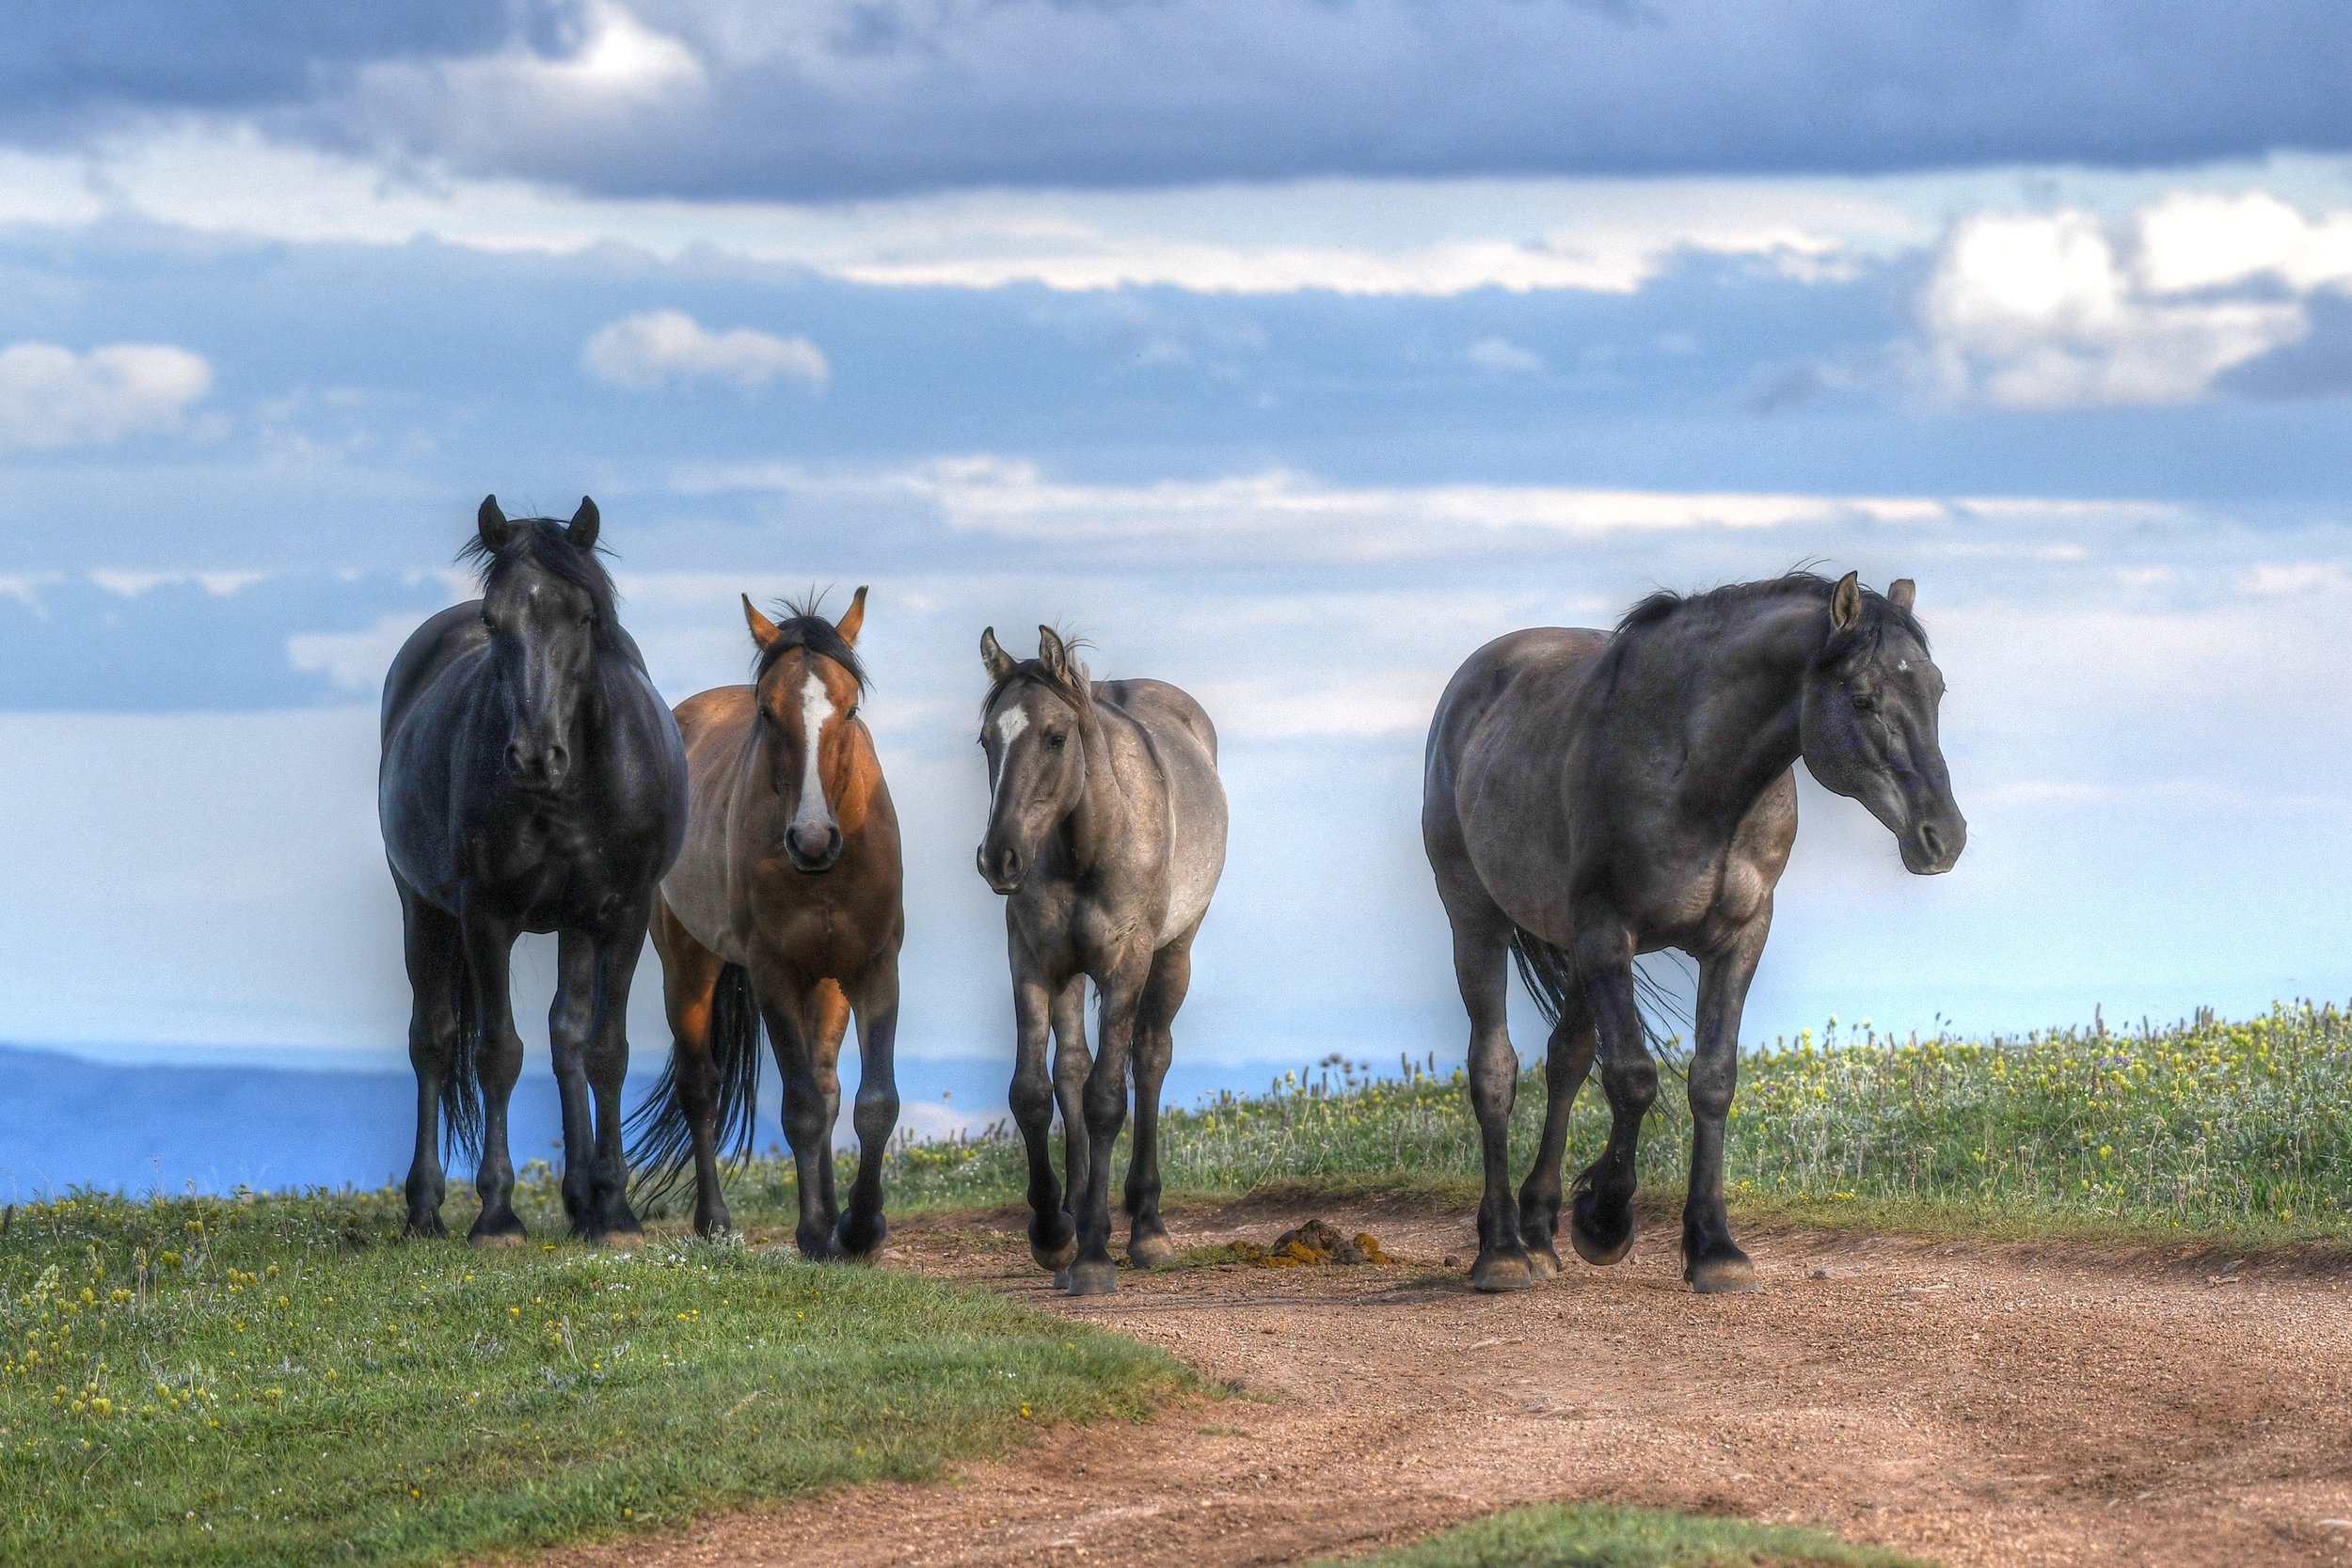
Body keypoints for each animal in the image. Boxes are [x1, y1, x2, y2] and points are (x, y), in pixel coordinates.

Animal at [379, 496, 688, 1245]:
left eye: (584, 616)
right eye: (496, 621)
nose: (535, 755)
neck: (570, 793)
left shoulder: (622, 913)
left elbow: (603, 1049)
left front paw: (614, 1209)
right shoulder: (487, 917)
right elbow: (498, 1053)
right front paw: (496, 1215)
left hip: (572, 925)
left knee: (565, 1038)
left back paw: (582, 1200)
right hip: (422, 910)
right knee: (433, 1042)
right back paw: (425, 1208)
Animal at [626, 590, 904, 1260]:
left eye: (850, 708)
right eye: (767, 712)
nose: (811, 839)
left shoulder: (875, 967)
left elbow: (872, 1103)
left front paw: (859, 1227)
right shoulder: (774, 974)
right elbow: (800, 1107)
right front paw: (816, 1232)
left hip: (826, 981)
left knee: (828, 1086)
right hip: (688, 965)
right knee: (700, 1086)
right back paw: (715, 1222)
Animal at [976, 626, 1227, 1295]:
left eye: (1056, 737)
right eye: (986, 741)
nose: (998, 858)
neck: (1085, 845)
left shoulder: (1126, 964)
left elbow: (1107, 1098)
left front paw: (1093, 1253)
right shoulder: (1033, 963)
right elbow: (1033, 1093)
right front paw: (1054, 1235)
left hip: (1174, 956)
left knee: (1150, 1058)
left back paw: (1146, 1227)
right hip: (1069, 976)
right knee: (1070, 1070)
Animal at [1422, 571, 1965, 1294]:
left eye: (1935, 689)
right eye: (1862, 698)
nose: (1945, 836)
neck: (1696, 775)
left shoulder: (1739, 937)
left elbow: (1712, 1078)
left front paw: (1714, 1247)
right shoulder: (1607, 935)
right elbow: (1632, 1077)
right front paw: (1605, 1219)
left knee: (1566, 1060)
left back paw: (1539, 1230)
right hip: (1477, 921)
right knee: (1495, 1069)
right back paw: (1504, 1249)